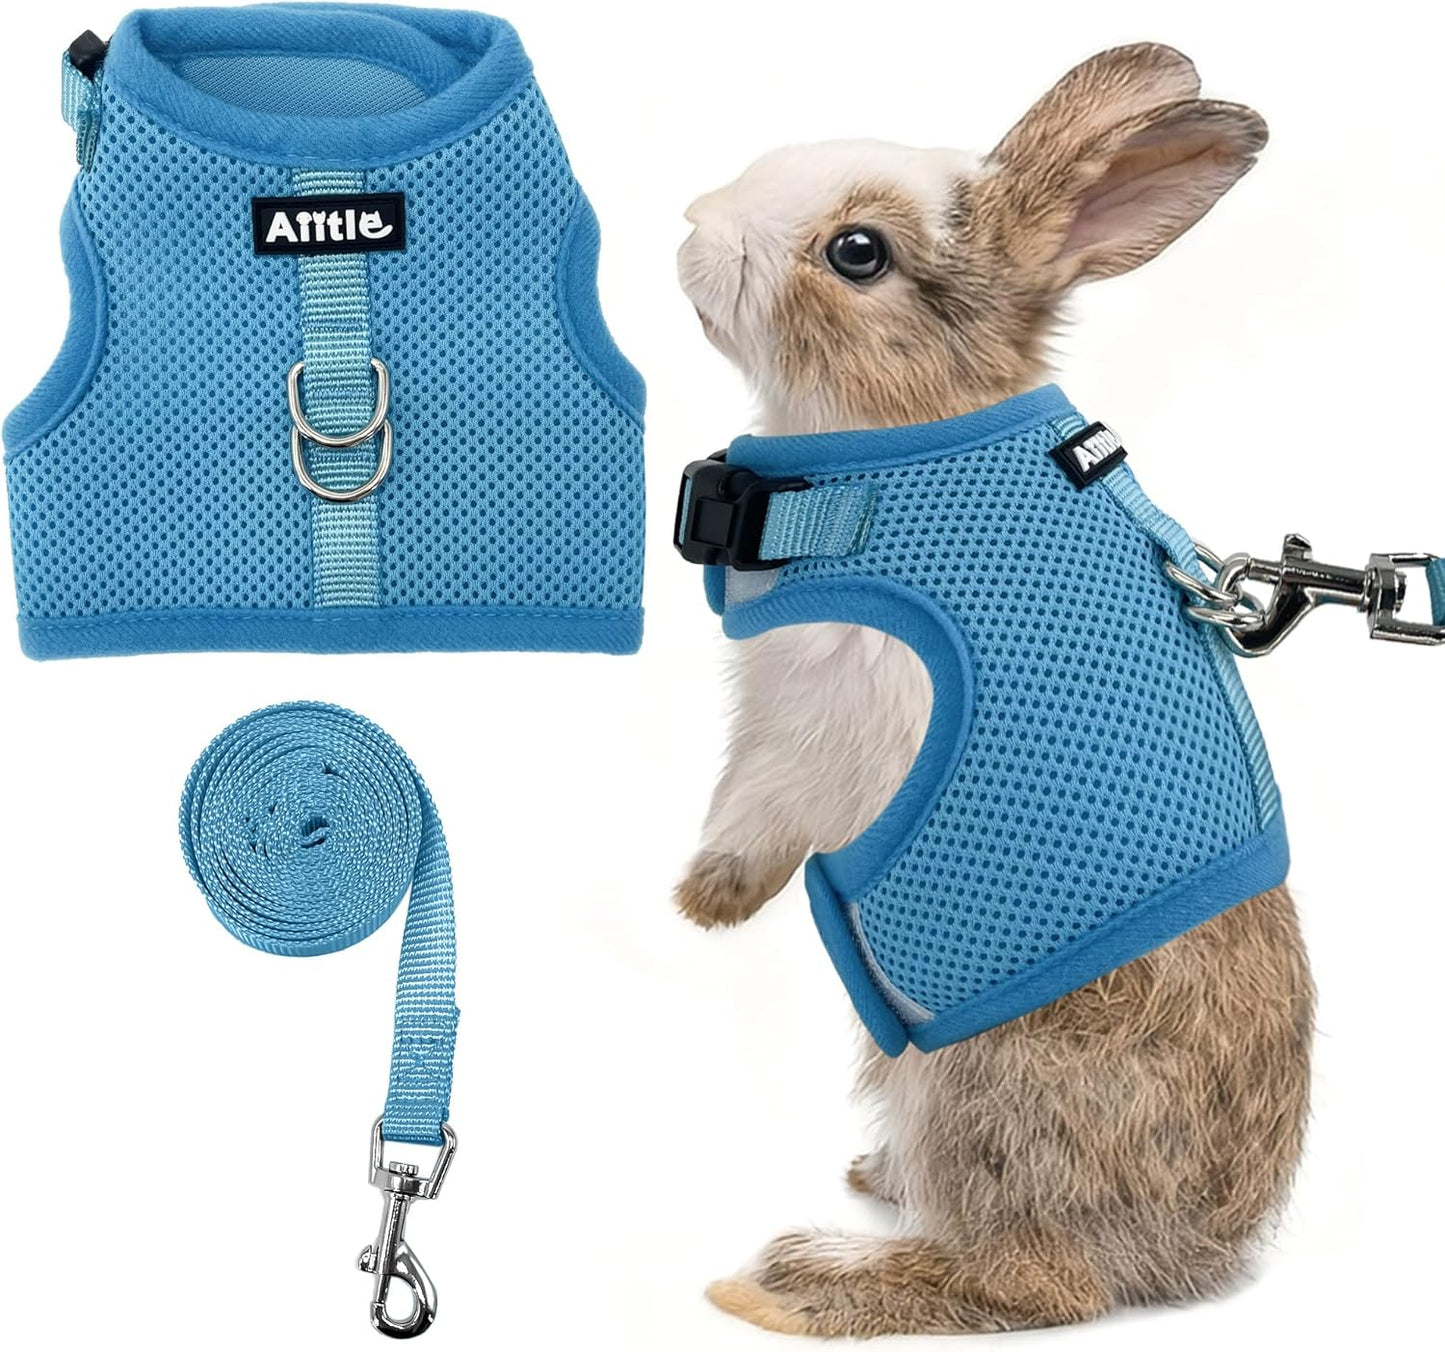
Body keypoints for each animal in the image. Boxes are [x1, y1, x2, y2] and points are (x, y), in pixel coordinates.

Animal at [674, 43, 1314, 1337]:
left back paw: (799, 1273)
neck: (894, 440)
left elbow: (760, 803)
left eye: (855, 251)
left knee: (1033, 1280)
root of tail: (1190, 1251)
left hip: (980, 1077)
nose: (691, 225)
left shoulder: (820, 717)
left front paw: (701, 901)